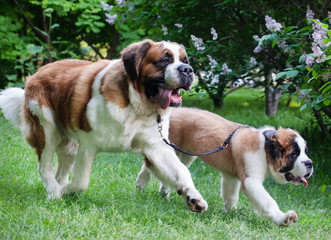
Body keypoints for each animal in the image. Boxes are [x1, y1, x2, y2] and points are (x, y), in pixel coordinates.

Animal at [0, 39, 208, 212]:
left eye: (185, 60)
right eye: (165, 60)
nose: (187, 70)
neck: (136, 105)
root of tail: (35, 74)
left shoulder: (156, 147)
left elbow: (182, 170)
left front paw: (194, 197)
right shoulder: (88, 145)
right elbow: (81, 181)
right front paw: (67, 191)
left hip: (69, 145)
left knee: (61, 168)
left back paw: (58, 186)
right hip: (47, 130)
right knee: (44, 166)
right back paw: (55, 192)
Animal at [137, 108, 314, 226]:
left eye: (305, 152)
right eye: (294, 154)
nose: (310, 163)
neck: (266, 148)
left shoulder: (231, 176)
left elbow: (231, 195)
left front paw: (231, 213)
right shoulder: (251, 181)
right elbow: (268, 201)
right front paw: (282, 218)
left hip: (187, 155)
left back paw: (164, 192)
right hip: (170, 147)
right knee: (150, 163)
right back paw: (142, 181)